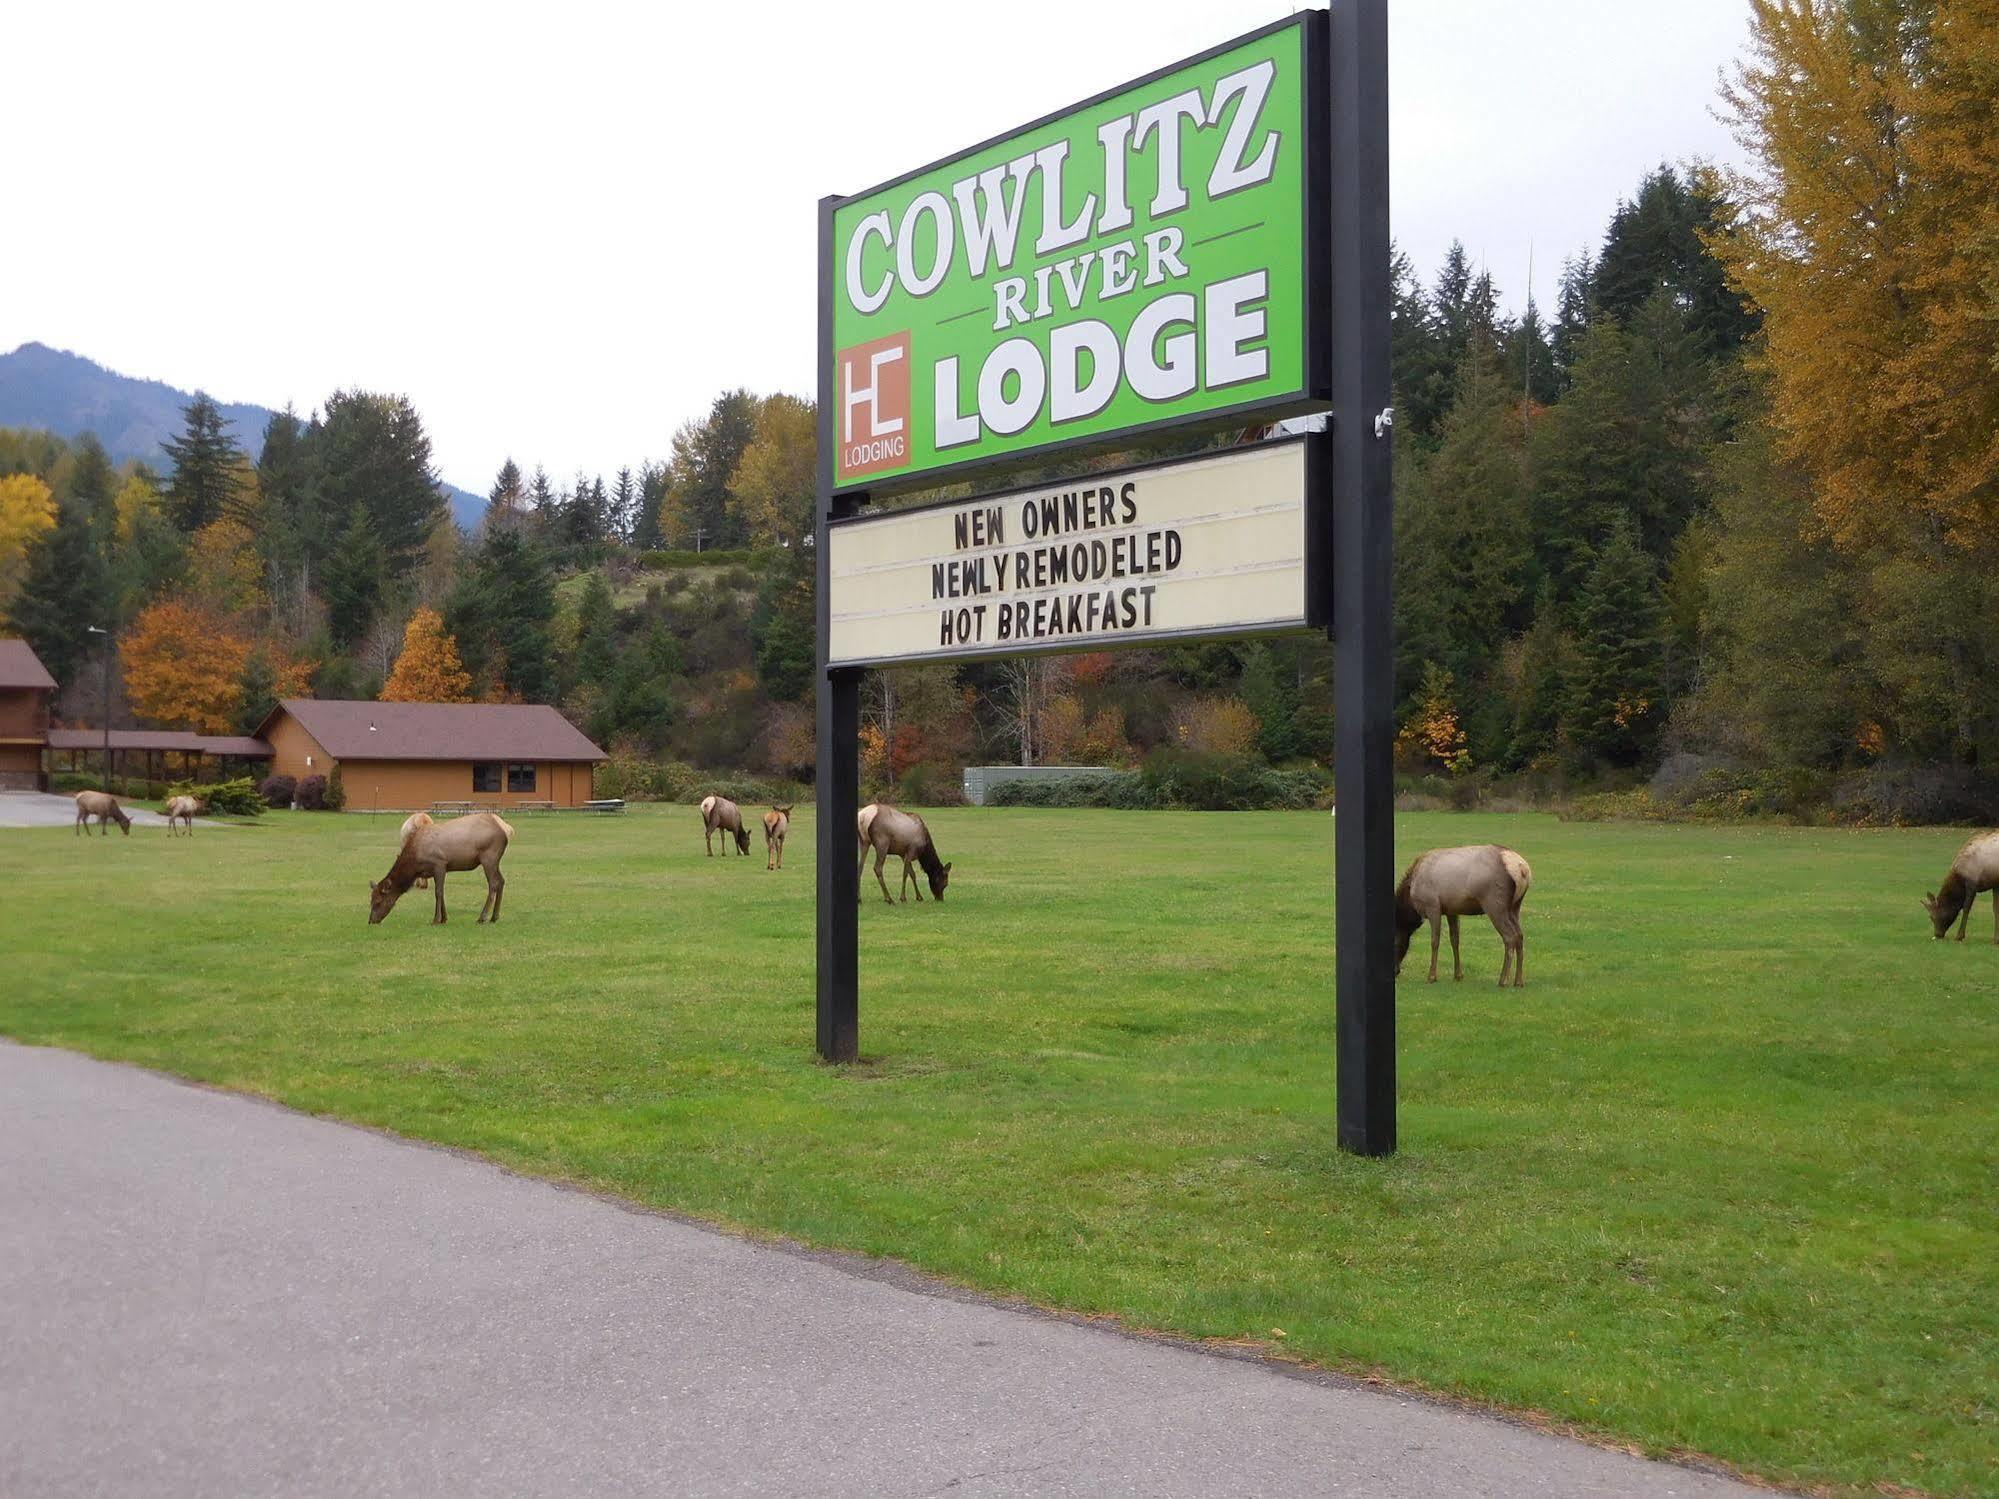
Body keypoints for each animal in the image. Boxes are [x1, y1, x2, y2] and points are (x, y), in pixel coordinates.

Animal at [369, 811, 511, 927]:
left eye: (378, 901)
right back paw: (494, 917)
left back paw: (482, 917)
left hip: (488, 857)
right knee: (501, 881)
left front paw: (436, 920)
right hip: (495, 860)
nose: (371, 921)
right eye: (370, 901)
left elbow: (438, 892)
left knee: (493, 883)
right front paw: (444, 919)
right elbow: (441, 892)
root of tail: (505, 829)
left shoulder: (439, 864)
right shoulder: (438, 870)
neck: (415, 864)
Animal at [1399, 847, 1535, 987]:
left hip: (1495, 904)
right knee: (1520, 935)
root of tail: (1523, 869)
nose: (1397, 971)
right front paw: (1458, 975)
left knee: (1510, 937)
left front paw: (1431, 977)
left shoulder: (1433, 906)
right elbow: (1455, 940)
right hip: (1515, 906)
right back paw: (1518, 981)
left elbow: (1434, 941)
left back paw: (1503, 980)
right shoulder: (1451, 910)